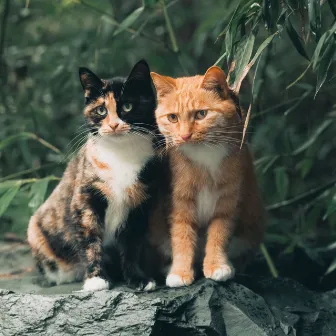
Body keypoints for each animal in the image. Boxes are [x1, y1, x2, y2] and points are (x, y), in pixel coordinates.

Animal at [27, 60, 158, 292]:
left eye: (127, 106)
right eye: (101, 110)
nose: (113, 124)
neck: (121, 156)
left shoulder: (139, 205)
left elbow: (132, 246)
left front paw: (138, 278)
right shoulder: (85, 200)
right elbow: (90, 240)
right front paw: (96, 279)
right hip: (35, 229)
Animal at [150, 67, 266, 288]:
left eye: (201, 114)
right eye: (173, 118)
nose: (184, 136)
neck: (204, 155)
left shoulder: (228, 201)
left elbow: (218, 235)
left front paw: (217, 265)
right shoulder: (180, 203)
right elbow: (182, 238)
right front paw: (180, 272)